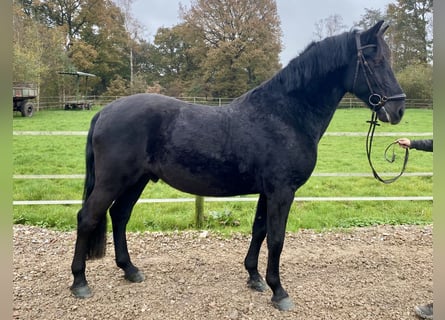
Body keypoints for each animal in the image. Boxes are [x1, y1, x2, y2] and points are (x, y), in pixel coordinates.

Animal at [70, 20, 406, 310]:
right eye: (376, 60)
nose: (398, 109)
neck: (285, 115)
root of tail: (104, 112)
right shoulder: (282, 191)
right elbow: (277, 239)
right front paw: (279, 291)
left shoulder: (267, 191)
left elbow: (259, 231)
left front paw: (255, 278)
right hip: (113, 181)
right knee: (88, 217)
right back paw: (80, 283)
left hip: (136, 180)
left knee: (119, 216)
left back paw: (130, 270)